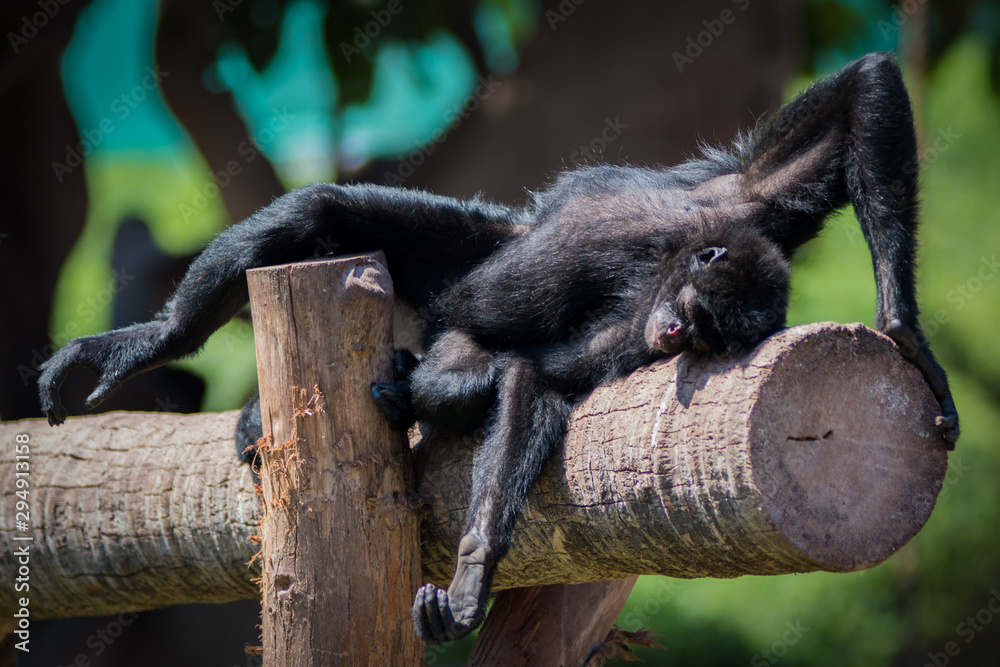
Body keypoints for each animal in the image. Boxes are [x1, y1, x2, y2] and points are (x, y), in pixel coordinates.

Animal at [38, 53, 958, 644]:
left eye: (712, 336)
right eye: (700, 315)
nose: (677, 333)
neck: (660, 270)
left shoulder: (633, 326)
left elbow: (528, 378)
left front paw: (473, 570)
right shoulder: (735, 204)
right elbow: (861, 89)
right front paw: (909, 335)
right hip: (472, 241)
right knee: (323, 214)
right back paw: (146, 343)